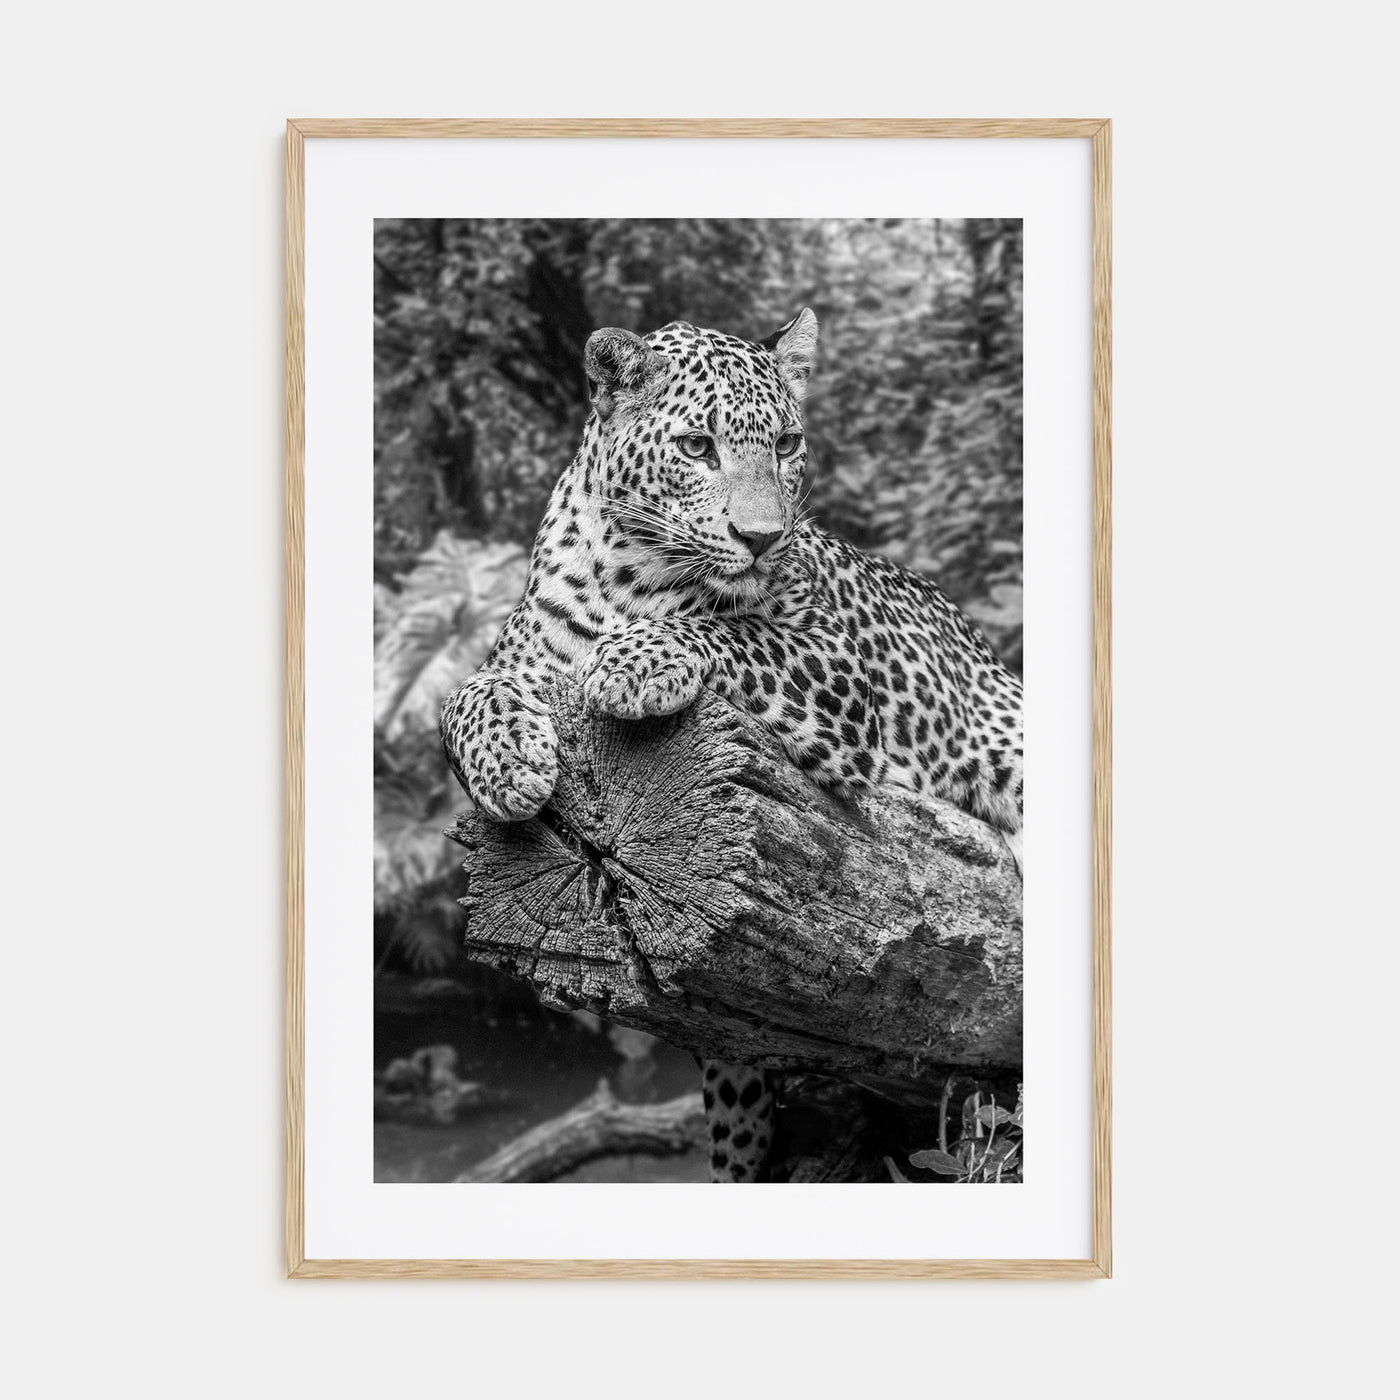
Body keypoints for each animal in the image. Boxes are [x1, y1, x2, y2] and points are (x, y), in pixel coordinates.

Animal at [440, 308, 1023, 1182]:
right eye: (696, 447)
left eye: (786, 443)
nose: (762, 537)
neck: (631, 577)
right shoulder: (517, 659)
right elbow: (463, 696)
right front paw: (508, 764)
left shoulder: (831, 661)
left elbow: (732, 631)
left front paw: (632, 663)